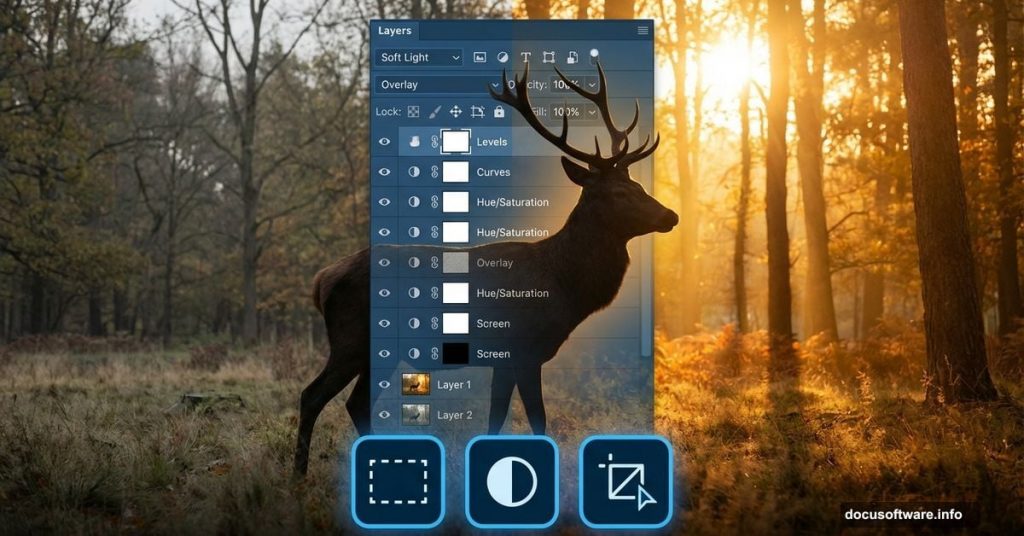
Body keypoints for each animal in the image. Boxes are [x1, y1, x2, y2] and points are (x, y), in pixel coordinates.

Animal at [293, 64, 678, 476]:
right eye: (619, 193)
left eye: (636, 184)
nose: (671, 215)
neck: (564, 286)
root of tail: (322, 280)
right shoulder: (524, 350)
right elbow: (538, 419)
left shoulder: (504, 360)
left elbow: (497, 417)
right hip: (352, 339)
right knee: (313, 395)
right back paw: (299, 476)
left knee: (357, 402)